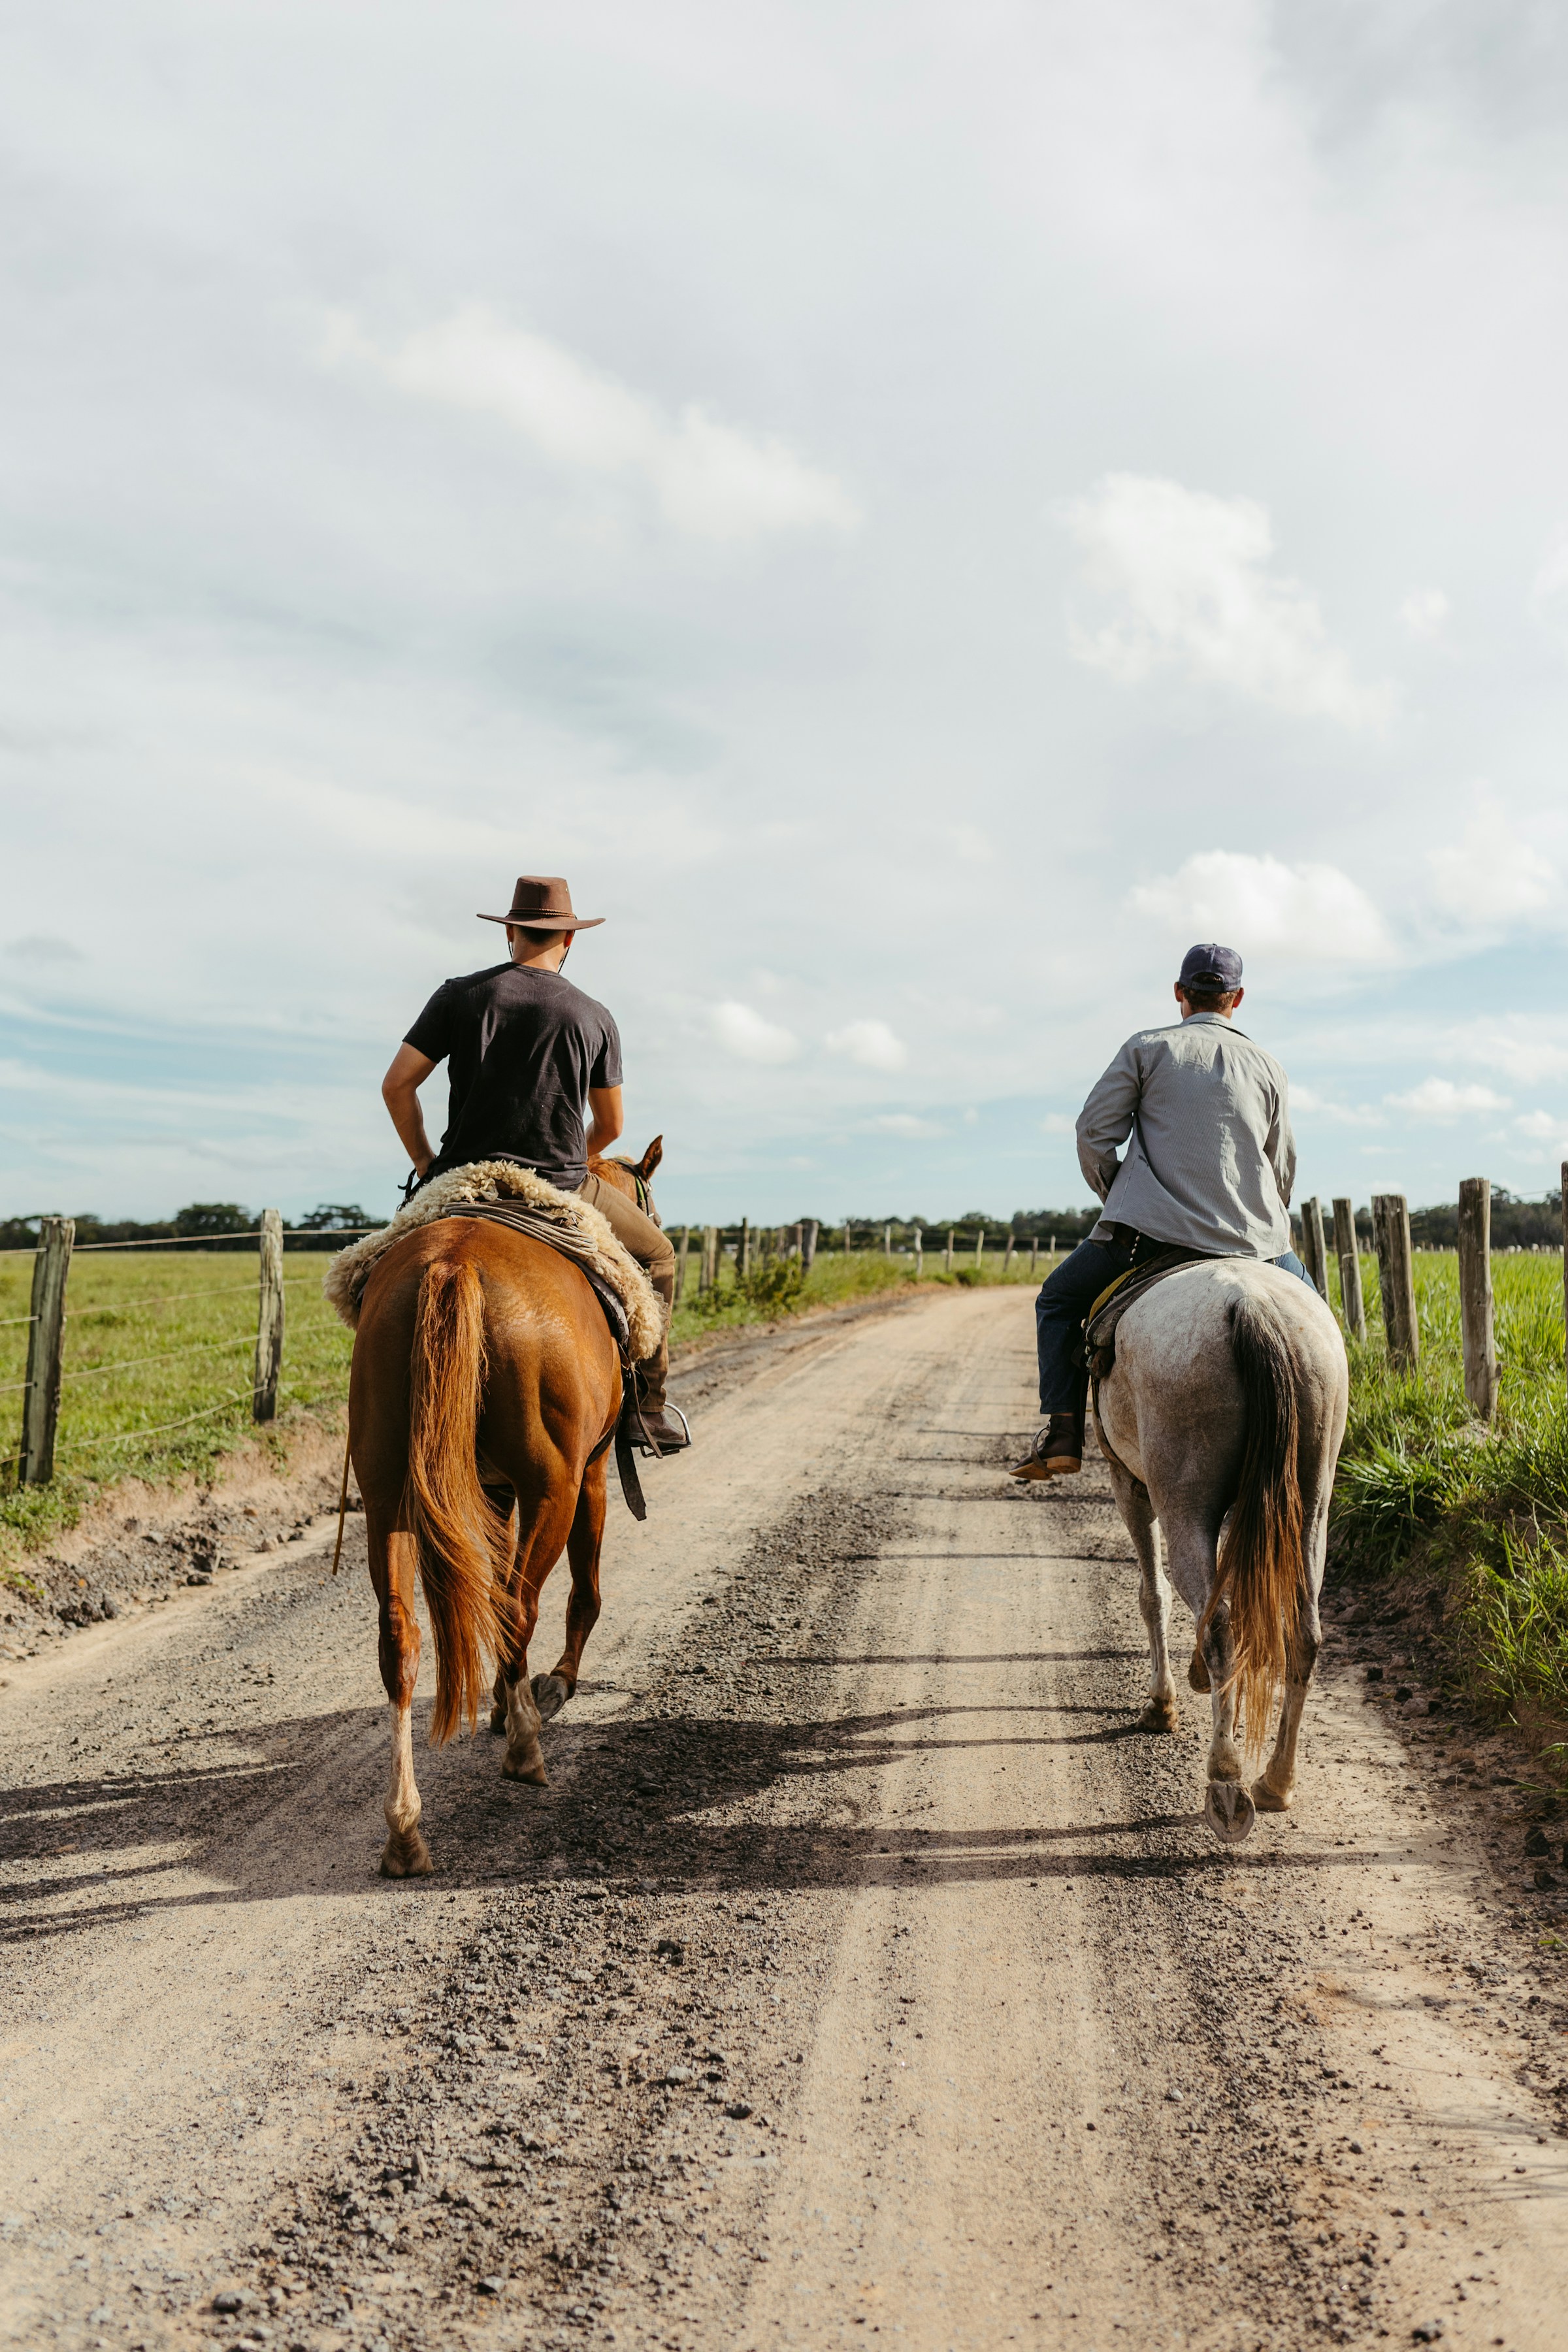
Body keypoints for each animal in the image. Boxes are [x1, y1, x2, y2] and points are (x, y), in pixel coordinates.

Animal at [348, 1137, 664, 1879]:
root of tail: (454, 1261)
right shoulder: (591, 1474)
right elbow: (584, 1591)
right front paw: (552, 1687)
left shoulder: (490, 1489)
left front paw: (503, 1696)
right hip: (553, 1485)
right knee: (523, 1605)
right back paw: (525, 1745)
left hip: (387, 1493)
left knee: (402, 1637)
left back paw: (405, 1831)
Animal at [1091, 1258, 1348, 1845]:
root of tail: (1250, 1304)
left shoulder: (1129, 1484)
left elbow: (1153, 1596)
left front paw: (1162, 1704)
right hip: (1310, 1508)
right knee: (1302, 1632)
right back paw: (1276, 1781)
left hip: (1183, 1504)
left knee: (1218, 1625)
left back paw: (1226, 1781)